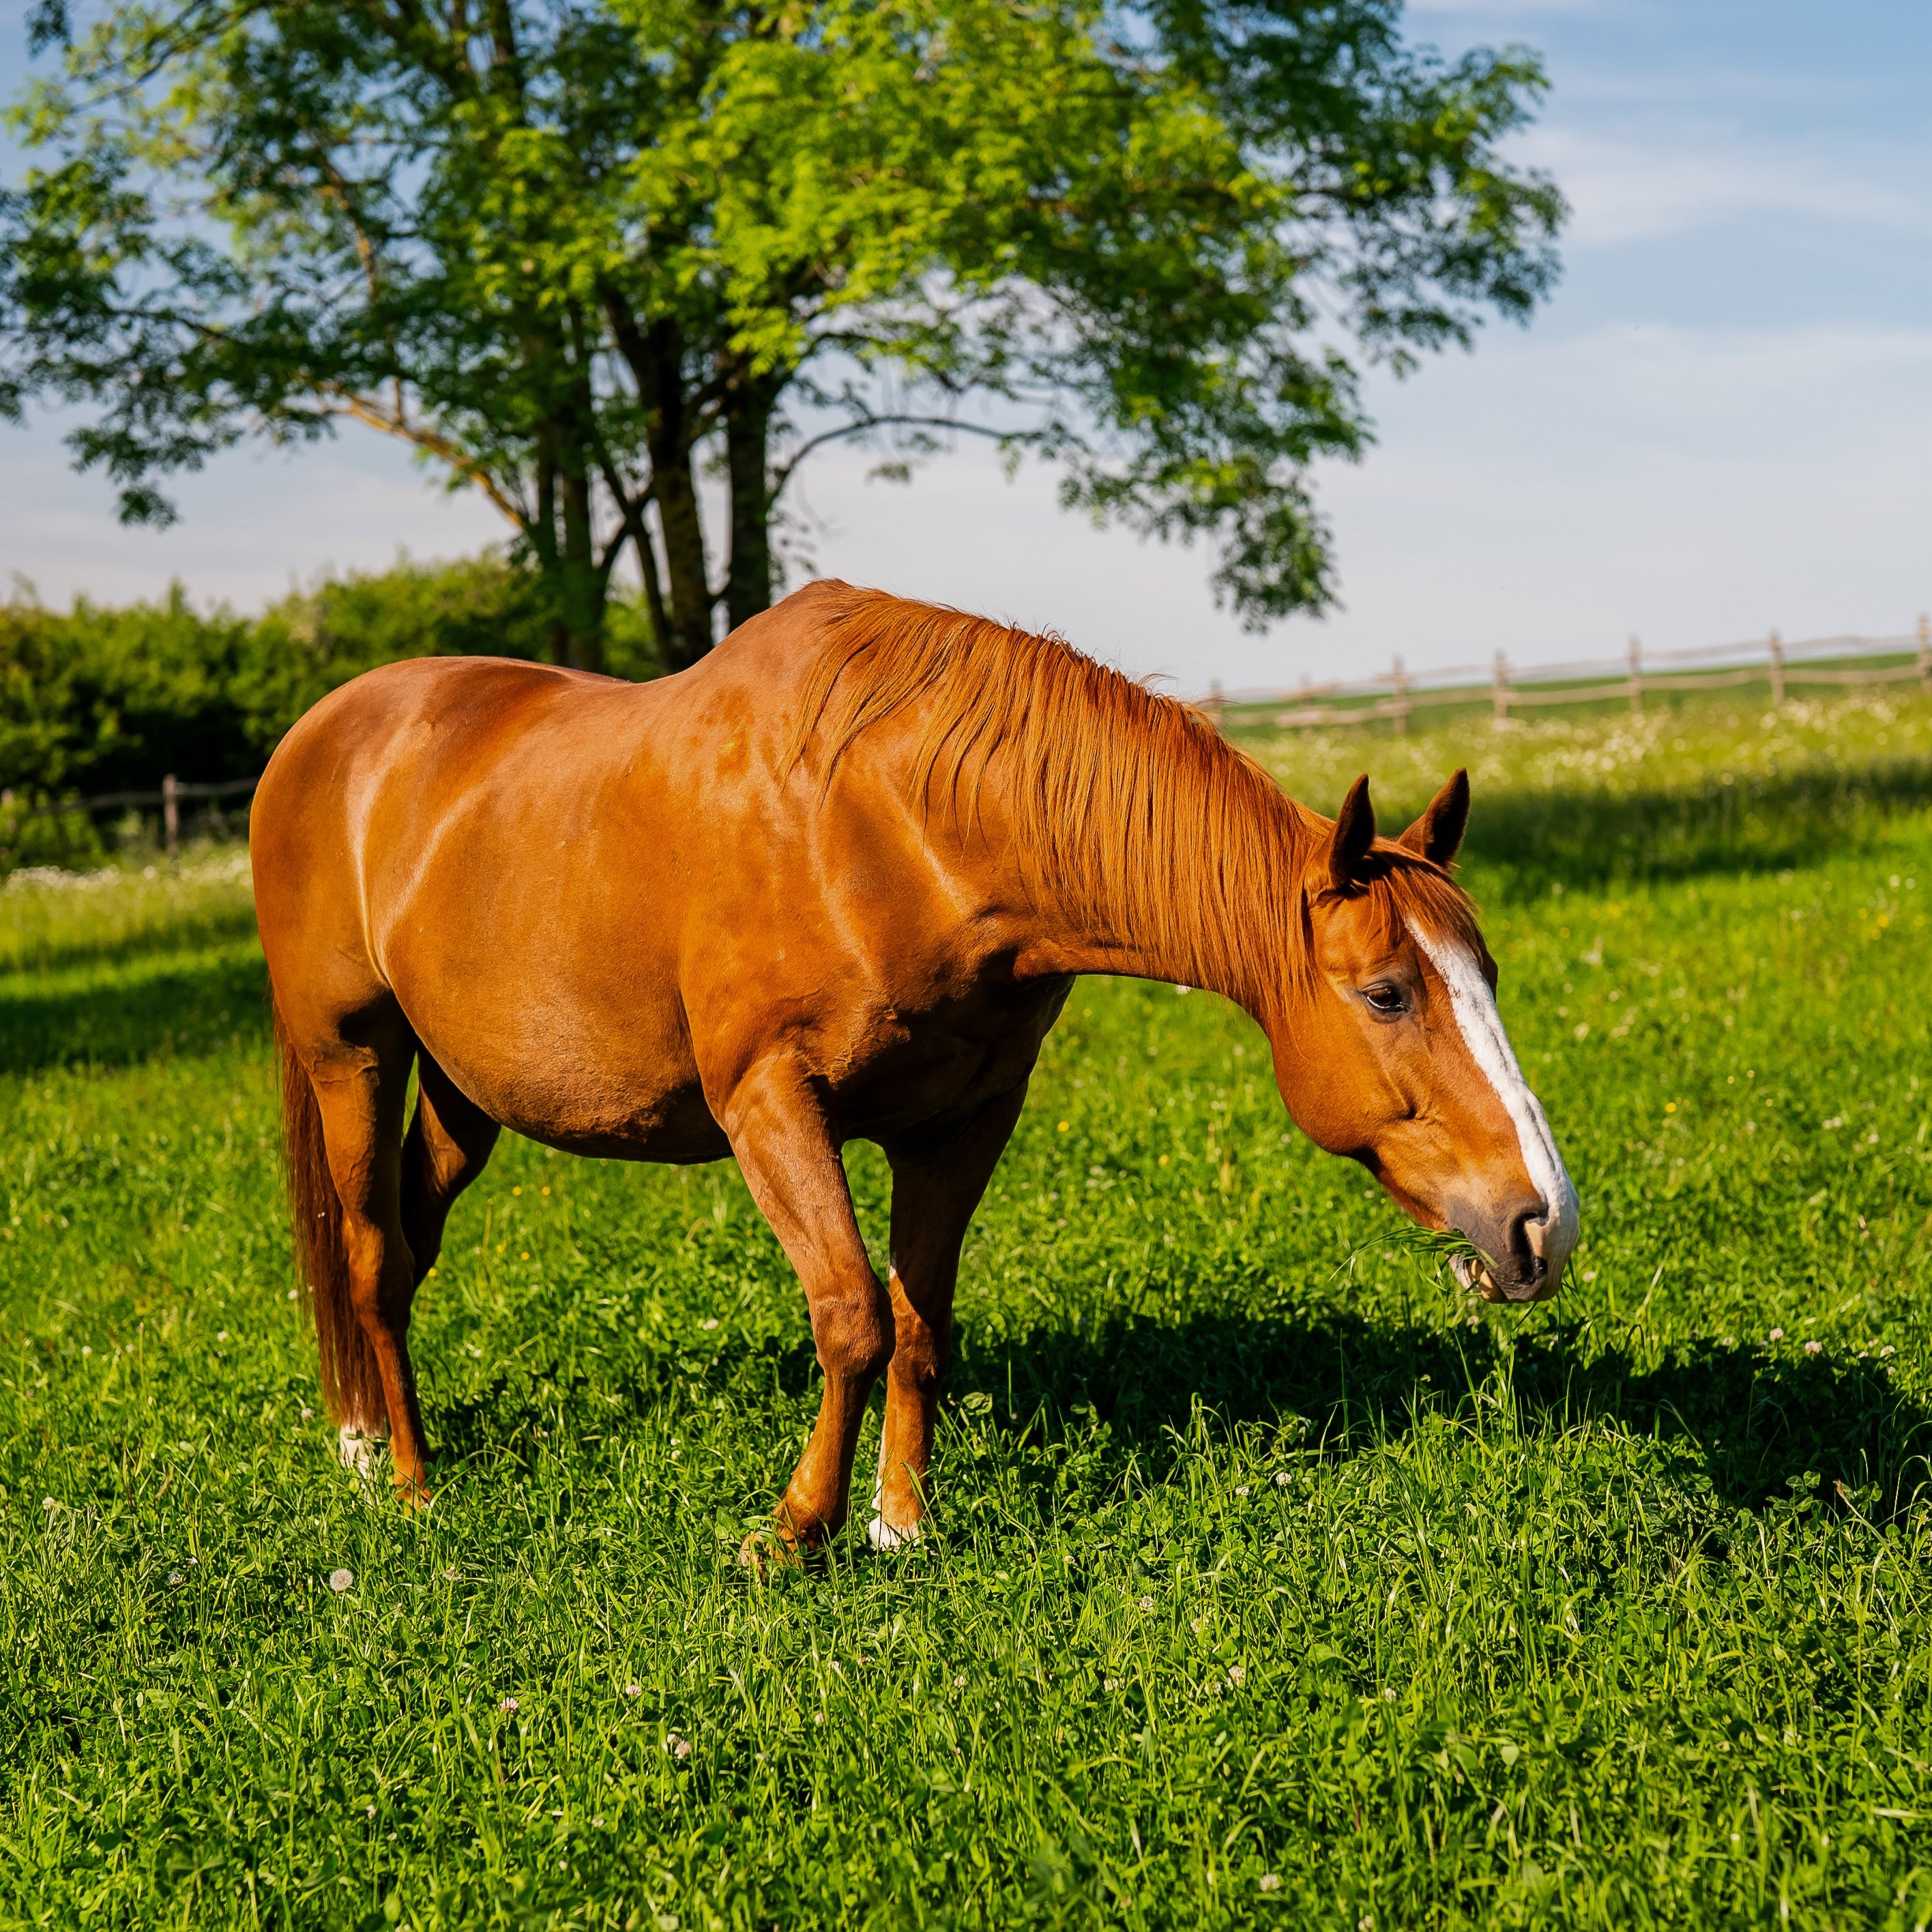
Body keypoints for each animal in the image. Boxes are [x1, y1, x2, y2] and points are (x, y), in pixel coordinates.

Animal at [251, 580, 1578, 1557]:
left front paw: (901, 1525)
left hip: (464, 1094)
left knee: (410, 1241)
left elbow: (919, 1320)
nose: (1541, 1225)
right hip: (351, 1056)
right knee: (371, 1259)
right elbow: (849, 1318)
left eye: (1487, 972)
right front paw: (795, 1531)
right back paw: (403, 1480)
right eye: (1387, 992)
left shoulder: (964, 1120)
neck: (898, 821)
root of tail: (320, 734)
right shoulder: (770, 1104)